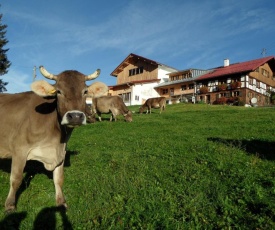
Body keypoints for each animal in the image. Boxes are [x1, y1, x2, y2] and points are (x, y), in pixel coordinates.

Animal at [0, 65, 108, 213]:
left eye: (85, 91)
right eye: (58, 91)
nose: (75, 116)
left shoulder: (61, 151)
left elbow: (59, 179)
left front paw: (61, 202)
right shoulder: (19, 149)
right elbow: (16, 178)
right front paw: (10, 205)